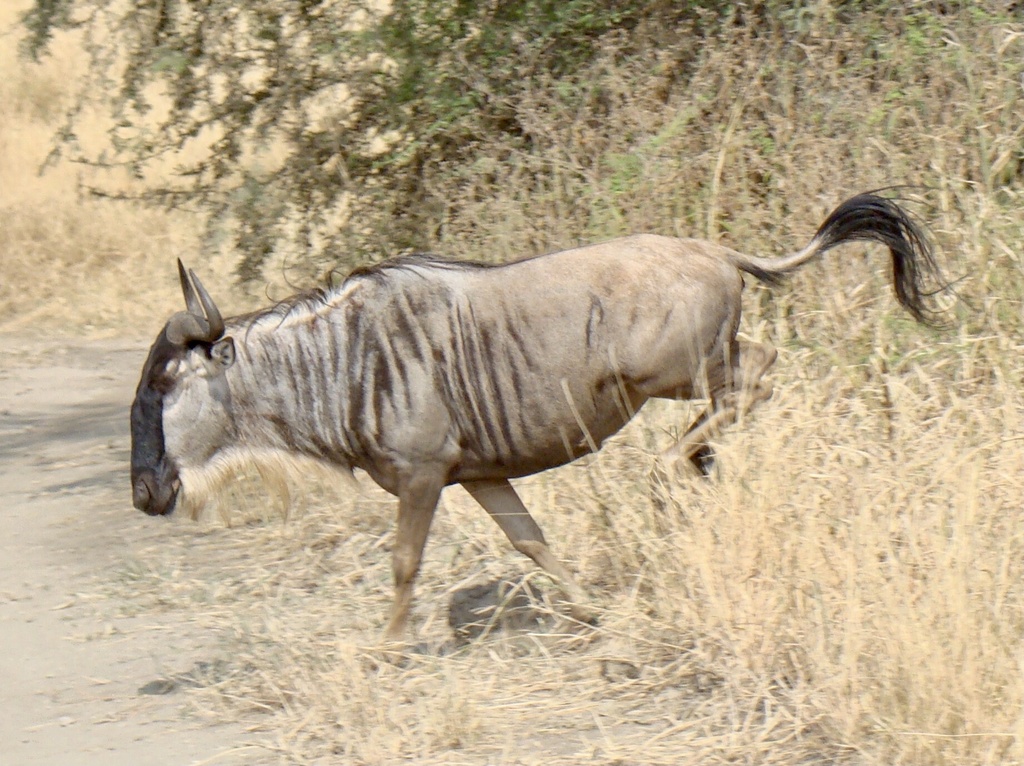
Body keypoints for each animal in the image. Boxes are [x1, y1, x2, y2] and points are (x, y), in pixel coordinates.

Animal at [130, 193, 943, 641]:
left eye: (164, 385)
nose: (145, 492)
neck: (342, 356)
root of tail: (717, 251)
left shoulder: (423, 477)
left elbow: (403, 562)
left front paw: (389, 647)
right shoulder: (476, 475)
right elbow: (532, 542)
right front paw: (589, 611)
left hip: (674, 373)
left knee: (763, 373)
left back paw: (672, 466)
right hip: (696, 368)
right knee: (758, 375)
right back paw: (695, 463)